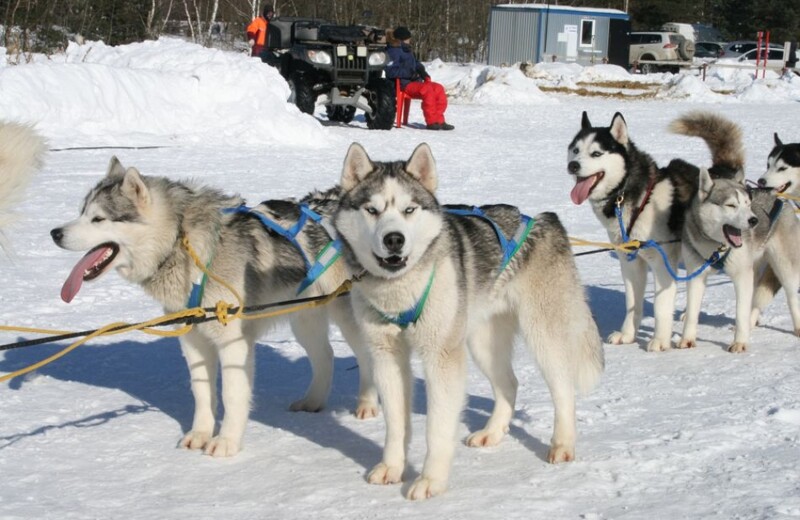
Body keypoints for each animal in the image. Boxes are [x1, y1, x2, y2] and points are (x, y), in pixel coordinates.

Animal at [50, 157, 378, 456]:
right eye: (82, 212)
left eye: (99, 219)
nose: (55, 233)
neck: (182, 245)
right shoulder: (193, 341)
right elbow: (202, 392)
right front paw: (200, 434)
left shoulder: (233, 343)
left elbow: (232, 395)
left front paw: (226, 442)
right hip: (304, 318)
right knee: (325, 355)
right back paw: (312, 401)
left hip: (348, 317)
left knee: (365, 356)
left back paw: (367, 405)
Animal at [332, 142, 600, 500]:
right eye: (372, 210)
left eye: (409, 210)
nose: (394, 239)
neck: (400, 290)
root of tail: (544, 219)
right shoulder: (386, 356)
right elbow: (396, 424)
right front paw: (392, 467)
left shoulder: (441, 357)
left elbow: (437, 427)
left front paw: (431, 480)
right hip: (482, 342)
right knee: (509, 384)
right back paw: (492, 432)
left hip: (542, 335)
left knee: (563, 390)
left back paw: (562, 445)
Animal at [564, 111, 748, 352]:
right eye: (576, 150)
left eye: (596, 153)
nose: (573, 166)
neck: (640, 198)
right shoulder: (630, 263)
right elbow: (632, 303)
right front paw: (627, 335)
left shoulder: (662, 263)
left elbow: (661, 306)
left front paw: (660, 340)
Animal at [680, 169, 800, 352]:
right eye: (731, 205)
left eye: (747, 204)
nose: (754, 220)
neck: (717, 248)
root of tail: (779, 198)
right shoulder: (696, 275)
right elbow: (692, 312)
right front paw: (687, 339)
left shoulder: (741, 276)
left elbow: (741, 312)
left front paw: (740, 342)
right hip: (755, 269)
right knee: (755, 299)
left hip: (784, 267)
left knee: (791, 296)